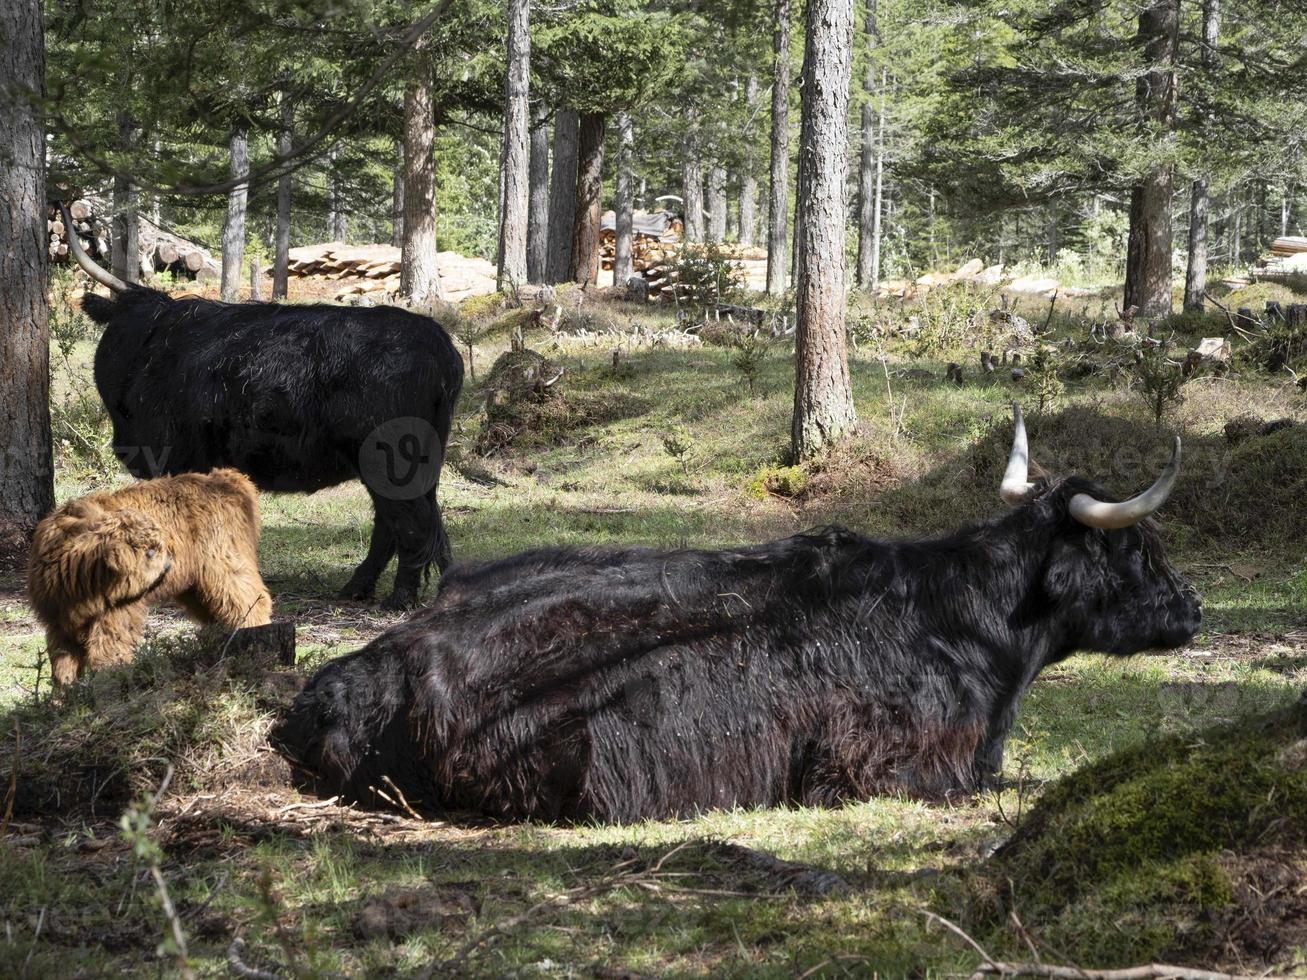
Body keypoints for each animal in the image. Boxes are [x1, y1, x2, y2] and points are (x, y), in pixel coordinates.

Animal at [30, 470, 273, 684]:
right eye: (150, 551)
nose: (168, 565)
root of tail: (229, 478)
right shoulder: (57, 619)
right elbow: (62, 664)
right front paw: (63, 695)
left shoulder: (116, 611)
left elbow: (108, 651)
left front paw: (111, 681)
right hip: (194, 586)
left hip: (223, 563)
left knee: (246, 601)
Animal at [67, 203, 465, 611]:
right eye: (123, 329)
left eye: (133, 333)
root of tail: (438, 342)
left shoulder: (171, 456)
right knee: (393, 524)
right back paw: (357, 587)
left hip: (389, 459)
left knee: (411, 523)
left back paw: (399, 597)